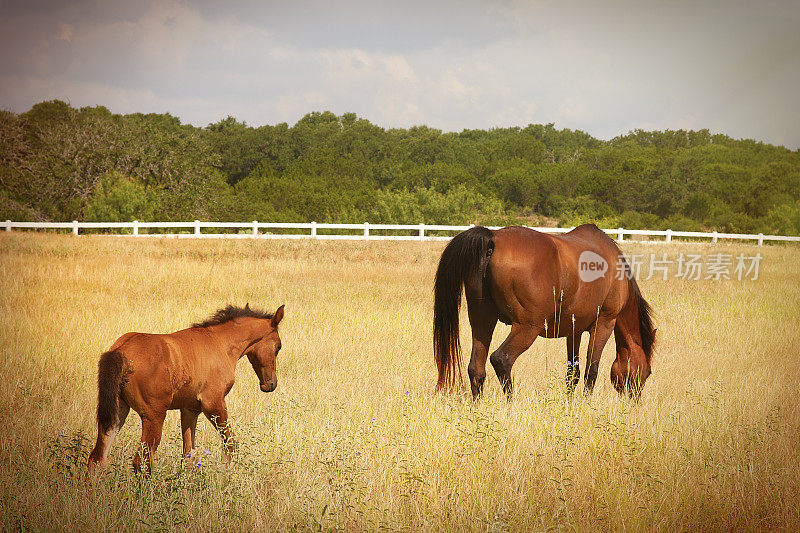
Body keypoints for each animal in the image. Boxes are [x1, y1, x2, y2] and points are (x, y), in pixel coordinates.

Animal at [88, 304, 284, 474]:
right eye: (278, 347)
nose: (270, 384)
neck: (220, 343)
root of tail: (121, 350)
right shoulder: (213, 403)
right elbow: (231, 445)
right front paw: (224, 479)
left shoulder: (190, 409)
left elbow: (188, 456)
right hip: (154, 416)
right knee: (141, 461)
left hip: (117, 413)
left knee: (97, 457)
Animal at [434, 223, 652, 400]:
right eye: (647, 372)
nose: (635, 400)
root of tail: (493, 238)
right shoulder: (604, 323)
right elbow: (591, 370)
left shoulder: (574, 331)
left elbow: (573, 372)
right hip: (527, 327)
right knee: (501, 359)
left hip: (482, 322)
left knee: (476, 368)